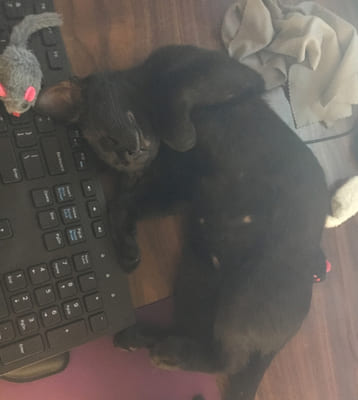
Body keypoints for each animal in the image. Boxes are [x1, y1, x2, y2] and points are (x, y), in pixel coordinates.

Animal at [37, 46, 328, 400]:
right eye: (106, 146)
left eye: (108, 136)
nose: (127, 155)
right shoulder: (177, 187)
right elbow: (122, 204)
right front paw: (128, 252)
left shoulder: (233, 75)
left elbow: (177, 87)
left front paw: (180, 132)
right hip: (199, 279)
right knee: (207, 344)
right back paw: (146, 341)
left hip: (248, 289)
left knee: (227, 357)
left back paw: (163, 351)